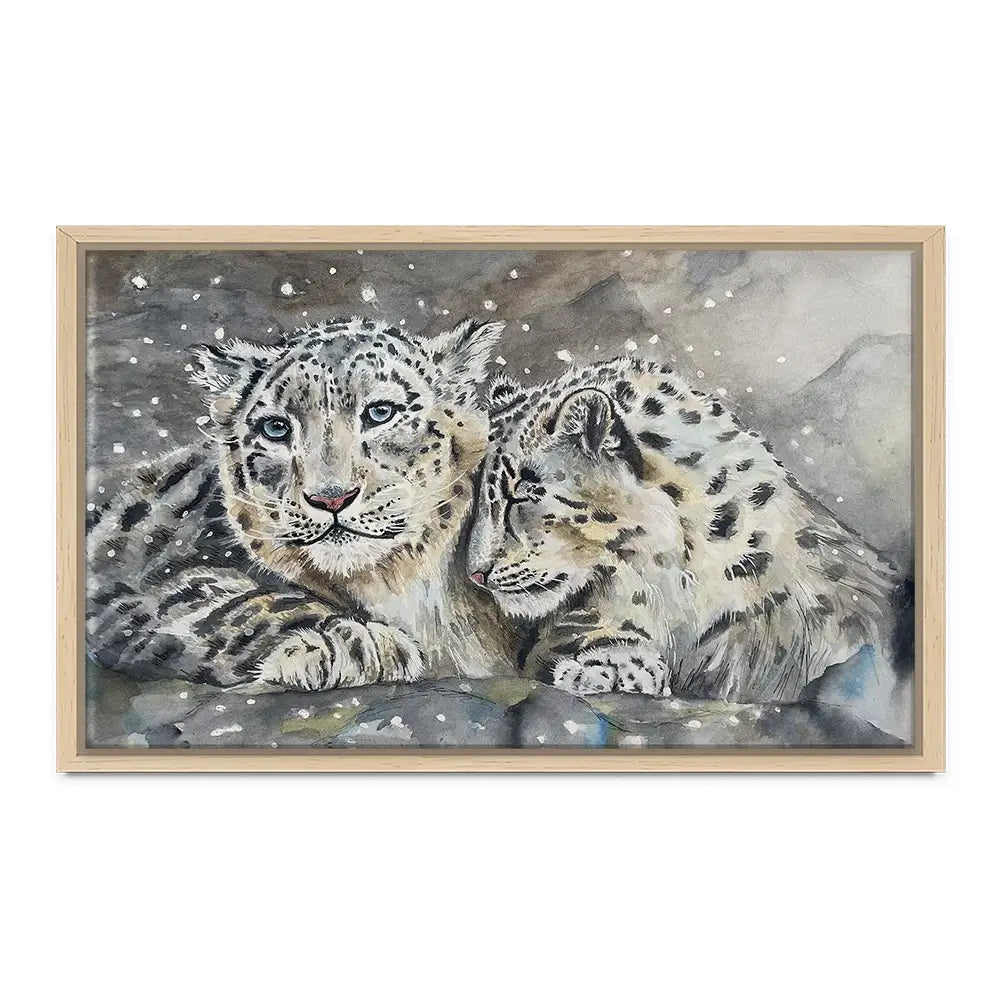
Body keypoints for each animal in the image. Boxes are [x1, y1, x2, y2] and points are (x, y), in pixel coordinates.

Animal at [87, 316, 522, 691]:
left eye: (381, 412)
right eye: (276, 428)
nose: (331, 497)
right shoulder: (144, 579)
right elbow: (235, 602)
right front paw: (351, 643)